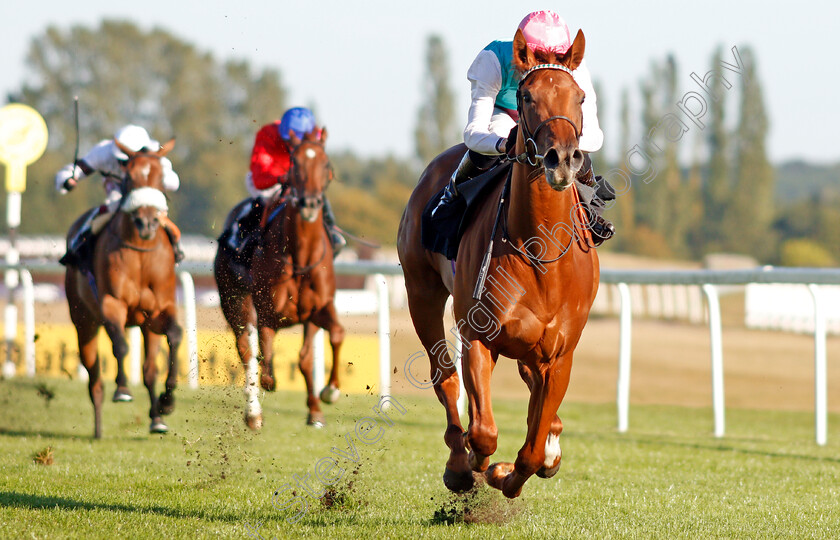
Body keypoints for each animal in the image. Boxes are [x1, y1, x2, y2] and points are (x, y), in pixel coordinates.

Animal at [64, 139, 184, 438]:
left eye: (160, 177)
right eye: (128, 177)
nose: (147, 222)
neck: (141, 252)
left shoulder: (160, 311)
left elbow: (175, 336)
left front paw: (167, 403)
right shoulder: (111, 304)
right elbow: (120, 347)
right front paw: (122, 389)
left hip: (145, 325)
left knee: (149, 370)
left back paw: (157, 420)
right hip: (83, 321)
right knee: (94, 375)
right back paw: (98, 427)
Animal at [217, 126, 348, 430]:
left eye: (326, 164)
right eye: (294, 164)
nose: (310, 203)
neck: (300, 259)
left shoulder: (318, 309)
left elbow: (321, 347)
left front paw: (324, 398)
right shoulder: (267, 312)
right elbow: (264, 365)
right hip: (233, 300)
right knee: (246, 352)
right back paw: (253, 414)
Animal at [398, 28, 600, 498]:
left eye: (580, 97)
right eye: (526, 95)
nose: (561, 158)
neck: (540, 252)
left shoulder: (558, 357)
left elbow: (533, 448)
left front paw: (510, 471)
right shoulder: (478, 336)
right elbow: (484, 431)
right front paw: (474, 463)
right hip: (421, 292)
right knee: (446, 378)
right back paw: (459, 461)